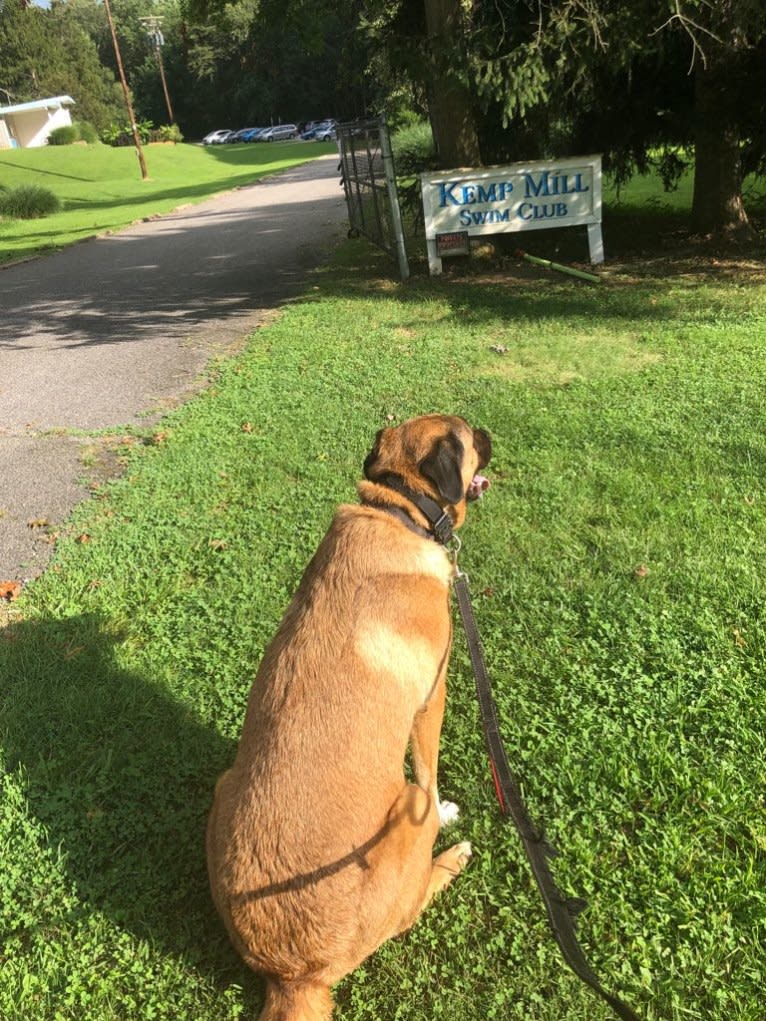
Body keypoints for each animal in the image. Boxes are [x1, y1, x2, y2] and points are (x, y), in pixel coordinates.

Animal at [205, 414, 492, 1021]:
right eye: (467, 436)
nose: (488, 433)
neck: (398, 509)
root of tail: (294, 976)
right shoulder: (432, 699)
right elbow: (431, 772)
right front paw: (448, 814)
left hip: (224, 784)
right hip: (405, 807)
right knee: (413, 900)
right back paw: (451, 857)